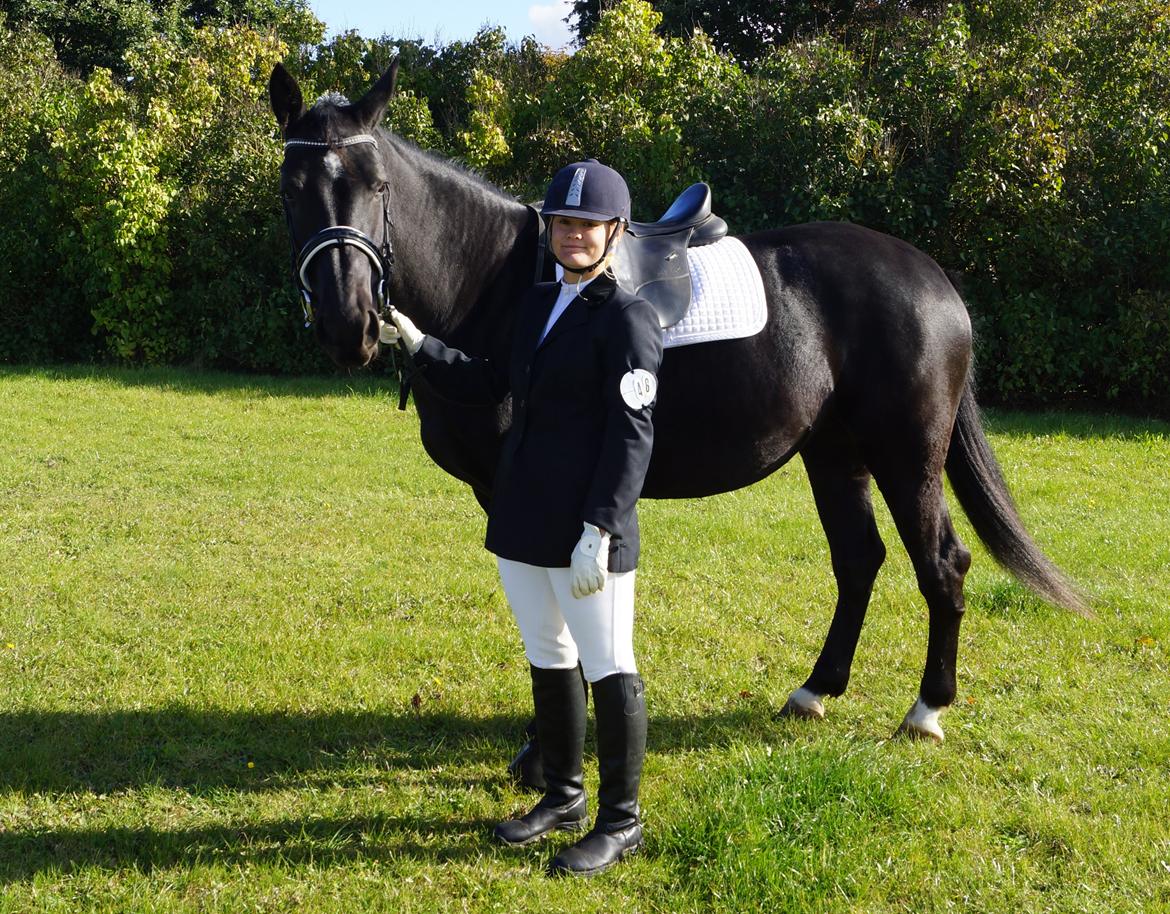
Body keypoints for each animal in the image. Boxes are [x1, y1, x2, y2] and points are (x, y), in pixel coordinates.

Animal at [269, 62, 1081, 748]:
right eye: (292, 187)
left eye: (378, 185)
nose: (348, 321)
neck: (500, 286)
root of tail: (931, 278)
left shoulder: (524, 491)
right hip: (835, 454)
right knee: (859, 561)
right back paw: (815, 691)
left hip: (907, 455)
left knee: (941, 563)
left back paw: (926, 711)